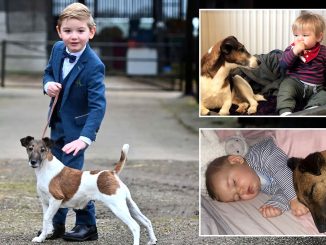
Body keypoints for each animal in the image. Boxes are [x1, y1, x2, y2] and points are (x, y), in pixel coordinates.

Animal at [19, 137, 157, 244]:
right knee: (146, 221)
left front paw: (40, 238)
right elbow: (47, 220)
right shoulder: (45, 203)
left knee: (135, 226)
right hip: (129, 205)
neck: (46, 168)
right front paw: (47, 234)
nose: (33, 162)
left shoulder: (56, 200)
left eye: (42, 150)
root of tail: (111, 173)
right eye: (30, 148)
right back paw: (152, 240)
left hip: (118, 208)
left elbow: (47, 219)